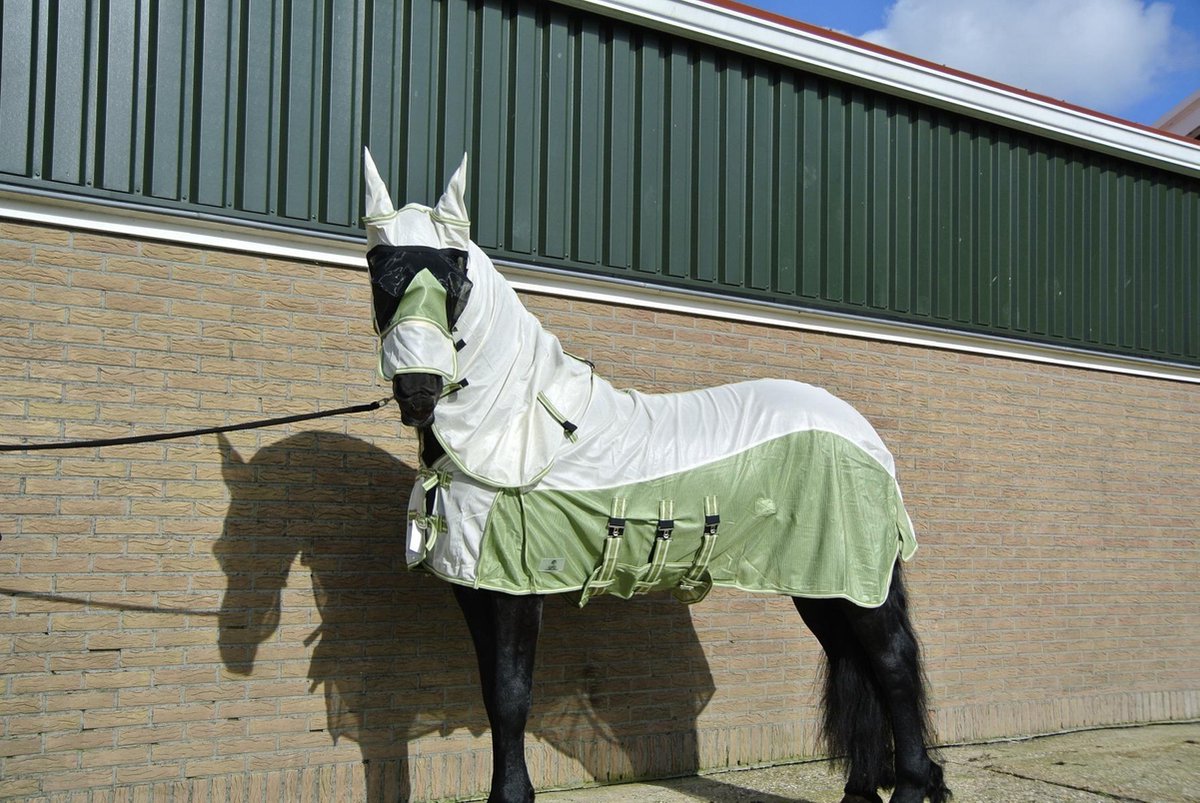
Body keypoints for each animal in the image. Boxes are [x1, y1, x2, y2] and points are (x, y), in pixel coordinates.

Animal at [360, 149, 950, 803]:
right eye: (380, 274)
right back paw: (861, 790)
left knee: (893, 665)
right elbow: (492, 694)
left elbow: (512, 695)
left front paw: (512, 795)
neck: (519, 428)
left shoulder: (517, 589)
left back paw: (913, 786)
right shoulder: (474, 588)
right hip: (823, 585)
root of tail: (865, 438)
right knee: (856, 662)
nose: (418, 390)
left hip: (859, 582)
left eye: (455, 278)